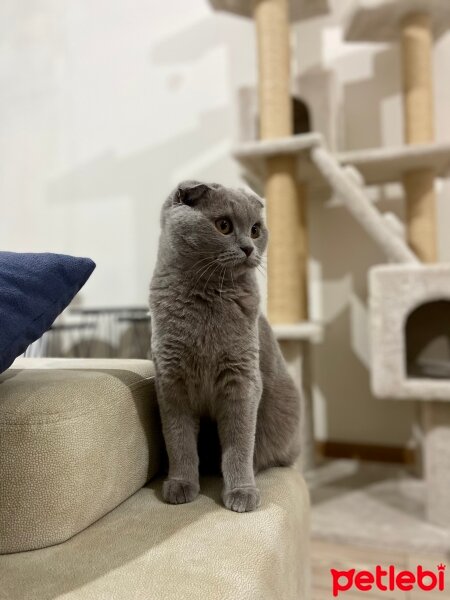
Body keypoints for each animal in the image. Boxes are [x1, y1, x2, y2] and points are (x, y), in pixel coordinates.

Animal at [149, 180, 300, 512]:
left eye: (256, 230)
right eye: (223, 225)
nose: (248, 248)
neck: (207, 296)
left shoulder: (241, 379)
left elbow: (239, 443)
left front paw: (242, 492)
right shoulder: (171, 382)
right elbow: (178, 441)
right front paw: (181, 485)